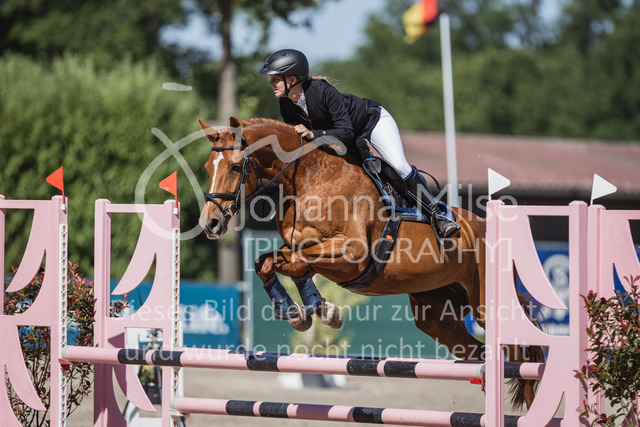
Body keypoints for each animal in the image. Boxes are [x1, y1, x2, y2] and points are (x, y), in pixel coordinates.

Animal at [197, 116, 543, 409]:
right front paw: (298, 313)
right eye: (206, 167)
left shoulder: (353, 253)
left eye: (235, 166)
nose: (210, 223)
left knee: (520, 355)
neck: (307, 180)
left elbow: (298, 264)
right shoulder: (298, 246)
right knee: (478, 350)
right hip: (438, 314)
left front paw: (324, 311)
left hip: (485, 305)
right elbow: (268, 263)